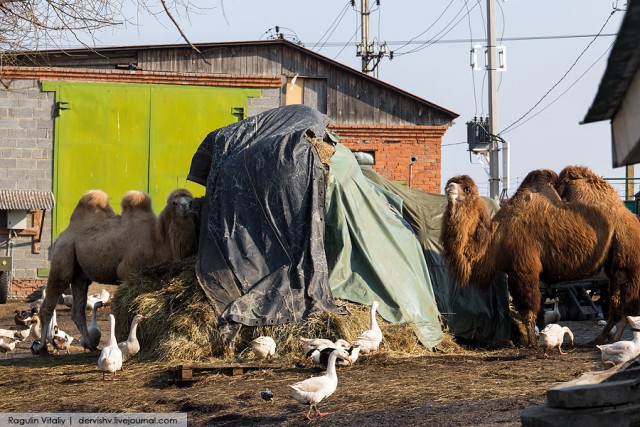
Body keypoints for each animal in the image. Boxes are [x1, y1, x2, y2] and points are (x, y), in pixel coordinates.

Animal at [37, 190, 196, 354]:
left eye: (191, 201)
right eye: (174, 203)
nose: (185, 207)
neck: (156, 242)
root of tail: (62, 235)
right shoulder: (127, 272)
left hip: (80, 275)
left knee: (78, 311)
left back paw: (91, 345)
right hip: (63, 256)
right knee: (49, 303)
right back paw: (42, 347)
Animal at [440, 169, 616, 346]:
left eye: (466, 188)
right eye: (450, 182)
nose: (449, 187)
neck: (495, 238)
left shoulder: (523, 269)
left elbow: (529, 309)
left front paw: (532, 342)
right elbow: (538, 311)